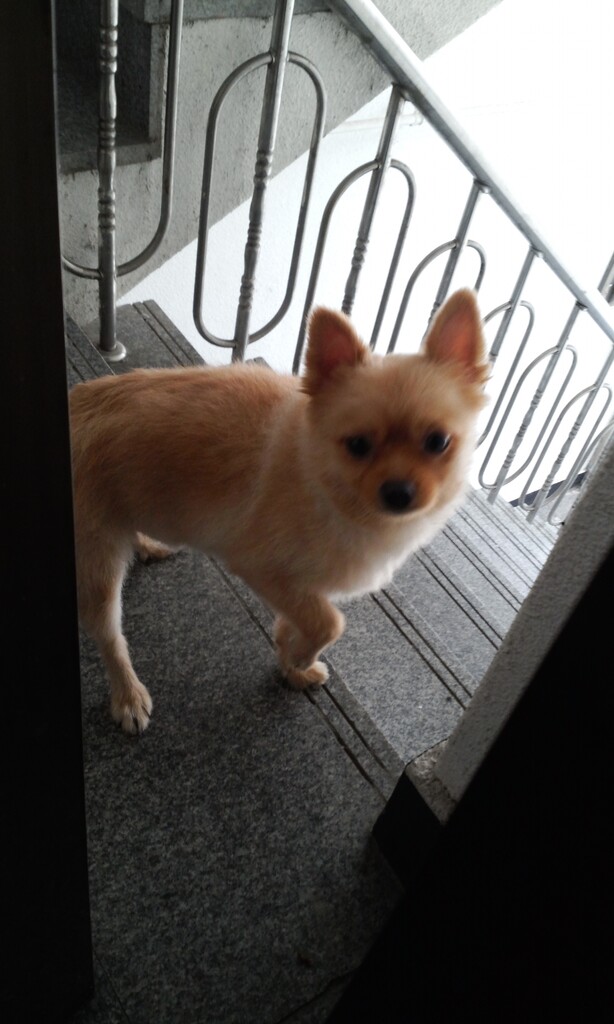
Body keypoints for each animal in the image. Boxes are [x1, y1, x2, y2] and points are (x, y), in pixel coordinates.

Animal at [70, 288, 489, 733]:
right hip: (97, 561)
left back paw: (147, 543)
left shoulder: (302, 587)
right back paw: (128, 696)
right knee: (109, 635)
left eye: (438, 442)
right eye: (357, 446)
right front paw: (301, 656)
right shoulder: (261, 567)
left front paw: (291, 660)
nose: (398, 492)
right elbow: (330, 623)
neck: (331, 488)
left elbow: (303, 621)